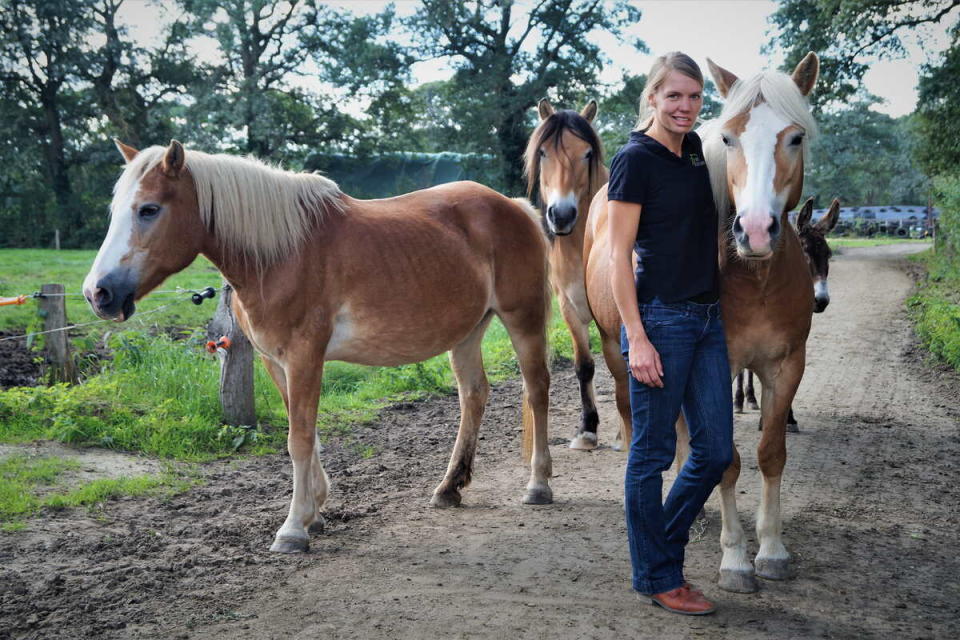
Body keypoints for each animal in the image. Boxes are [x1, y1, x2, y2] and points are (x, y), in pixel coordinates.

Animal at [86, 142, 560, 552]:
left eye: (149, 209)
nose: (98, 293)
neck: (282, 254)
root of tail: (514, 206)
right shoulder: (275, 361)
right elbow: (307, 435)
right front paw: (315, 511)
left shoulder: (304, 357)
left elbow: (298, 438)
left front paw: (293, 529)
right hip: (467, 332)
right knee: (473, 395)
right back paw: (449, 487)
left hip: (523, 318)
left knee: (536, 389)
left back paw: (538, 485)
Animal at [524, 99, 616, 450]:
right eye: (542, 152)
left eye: (587, 153)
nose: (562, 215)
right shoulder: (569, 308)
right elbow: (584, 366)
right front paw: (587, 428)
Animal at [736, 195, 840, 424]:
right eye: (804, 251)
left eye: (828, 254)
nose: (821, 300)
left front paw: (787, 416)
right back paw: (739, 400)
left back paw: (750, 398)